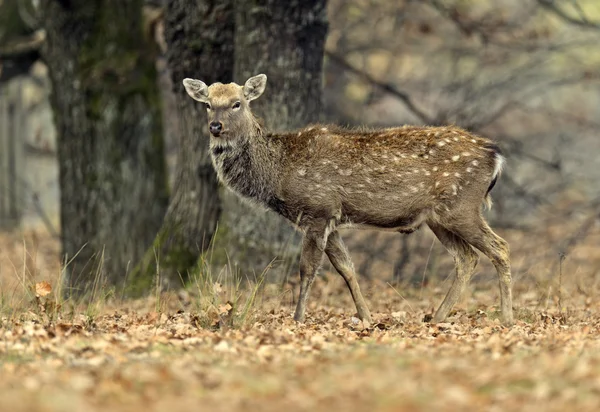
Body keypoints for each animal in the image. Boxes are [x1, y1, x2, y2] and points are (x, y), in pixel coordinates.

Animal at [180, 73, 512, 326]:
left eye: (237, 103)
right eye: (208, 104)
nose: (215, 127)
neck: (279, 172)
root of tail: (495, 156)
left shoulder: (317, 210)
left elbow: (307, 269)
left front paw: (297, 318)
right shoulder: (332, 218)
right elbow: (347, 268)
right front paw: (366, 317)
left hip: (462, 206)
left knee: (500, 248)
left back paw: (506, 317)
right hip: (438, 217)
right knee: (467, 258)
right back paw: (438, 316)